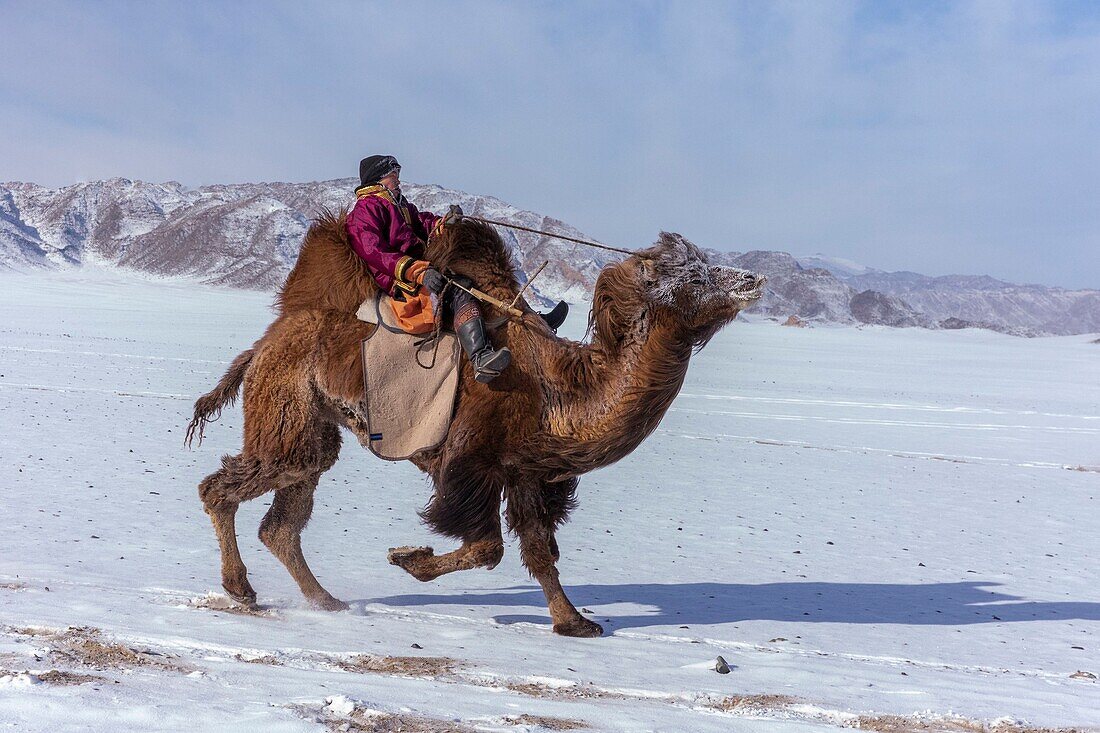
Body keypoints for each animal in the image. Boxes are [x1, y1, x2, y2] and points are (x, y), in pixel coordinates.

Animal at [189, 211, 761, 633]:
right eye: (689, 274)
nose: (751, 279)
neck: (556, 389)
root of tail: (263, 345)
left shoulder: (527, 471)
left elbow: (539, 551)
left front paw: (575, 623)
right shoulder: (472, 460)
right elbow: (488, 548)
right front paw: (407, 557)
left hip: (312, 425)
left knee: (283, 517)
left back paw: (325, 601)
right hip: (287, 408)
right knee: (227, 486)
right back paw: (242, 589)